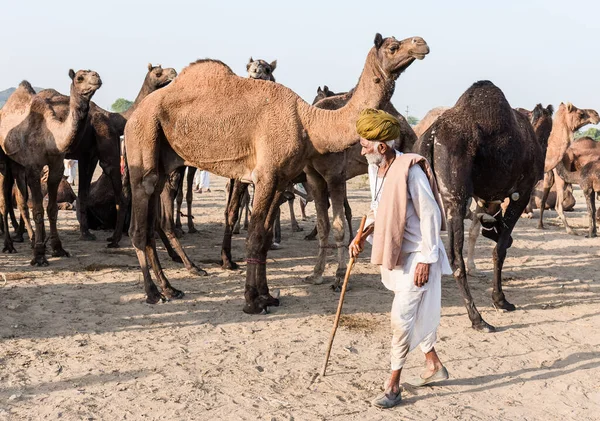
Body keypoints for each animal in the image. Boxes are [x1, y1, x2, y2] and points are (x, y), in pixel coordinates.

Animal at [0, 71, 102, 262]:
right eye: (79, 77)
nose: (97, 77)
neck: (50, 136)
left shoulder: (56, 167)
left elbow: (52, 209)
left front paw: (57, 248)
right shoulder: (33, 168)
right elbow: (38, 209)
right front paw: (40, 255)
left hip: (17, 164)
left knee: (21, 201)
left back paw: (31, 239)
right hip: (3, 161)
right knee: (4, 202)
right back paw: (9, 245)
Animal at [124, 34, 428, 312]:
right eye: (393, 46)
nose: (421, 43)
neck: (309, 123)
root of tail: (133, 114)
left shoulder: (281, 179)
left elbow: (265, 237)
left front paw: (267, 296)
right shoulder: (267, 176)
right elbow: (255, 235)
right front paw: (251, 301)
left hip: (163, 160)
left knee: (150, 223)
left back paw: (170, 288)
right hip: (144, 140)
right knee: (139, 225)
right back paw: (153, 292)